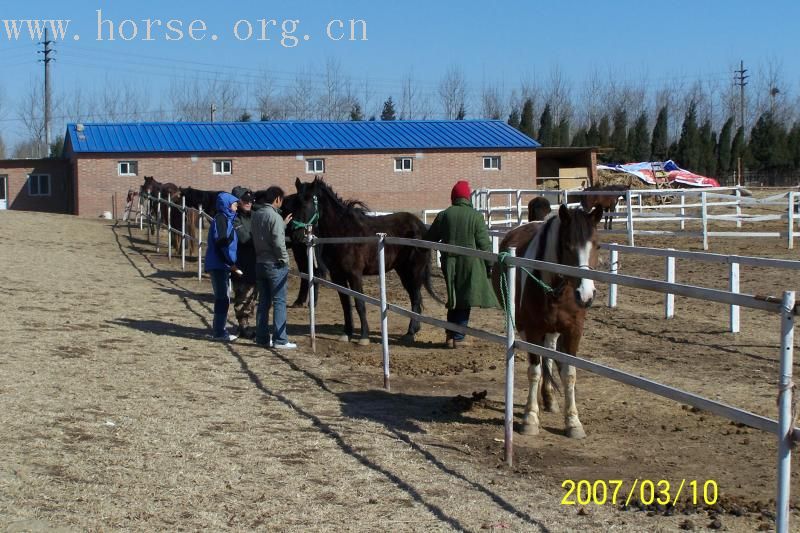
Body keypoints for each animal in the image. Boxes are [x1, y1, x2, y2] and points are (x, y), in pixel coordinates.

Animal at [290, 177, 444, 342]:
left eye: (306, 203)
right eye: (294, 203)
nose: (294, 235)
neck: (344, 233)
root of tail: (420, 225)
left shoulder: (355, 274)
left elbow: (359, 303)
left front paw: (364, 336)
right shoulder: (337, 275)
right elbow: (345, 303)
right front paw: (347, 333)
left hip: (414, 271)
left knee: (415, 298)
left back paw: (409, 333)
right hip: (403, 271)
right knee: (415, 297)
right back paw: (414, 330)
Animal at [494, 203, 600, 436]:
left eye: (597, 245)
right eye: (568, 246)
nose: (586, 295)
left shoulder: (573, 331)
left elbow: (569, 373)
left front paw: (573, 422)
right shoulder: (533, 330)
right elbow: (534, 371)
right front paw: (530, 418)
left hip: (552, 331)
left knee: (549, 355)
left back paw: (550, 399)